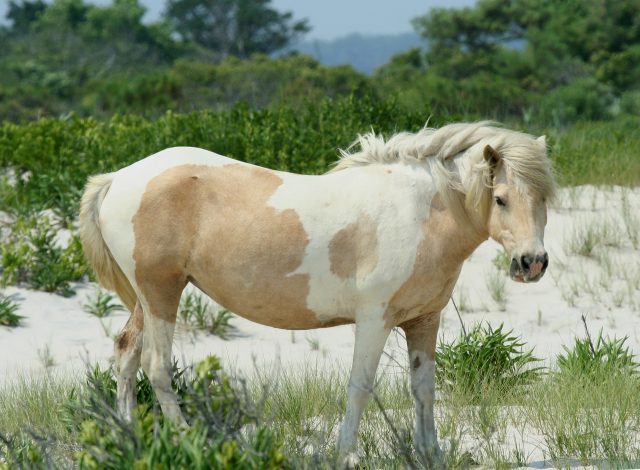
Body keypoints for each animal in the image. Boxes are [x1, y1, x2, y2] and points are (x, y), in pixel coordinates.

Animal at [77, 121, 552, 466]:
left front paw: (430, 454)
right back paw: (188, 442)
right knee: (157, 367)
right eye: (502, 199)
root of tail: (118, 178)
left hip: (147, 298)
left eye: (544, 200)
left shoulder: (424, 320)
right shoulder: (375, 320)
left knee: (127, 355)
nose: (532, 263)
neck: (419, 213)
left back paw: (130, 442)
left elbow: (424, 389)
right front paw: (347, 455)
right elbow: (360, 387)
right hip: (161, 294)